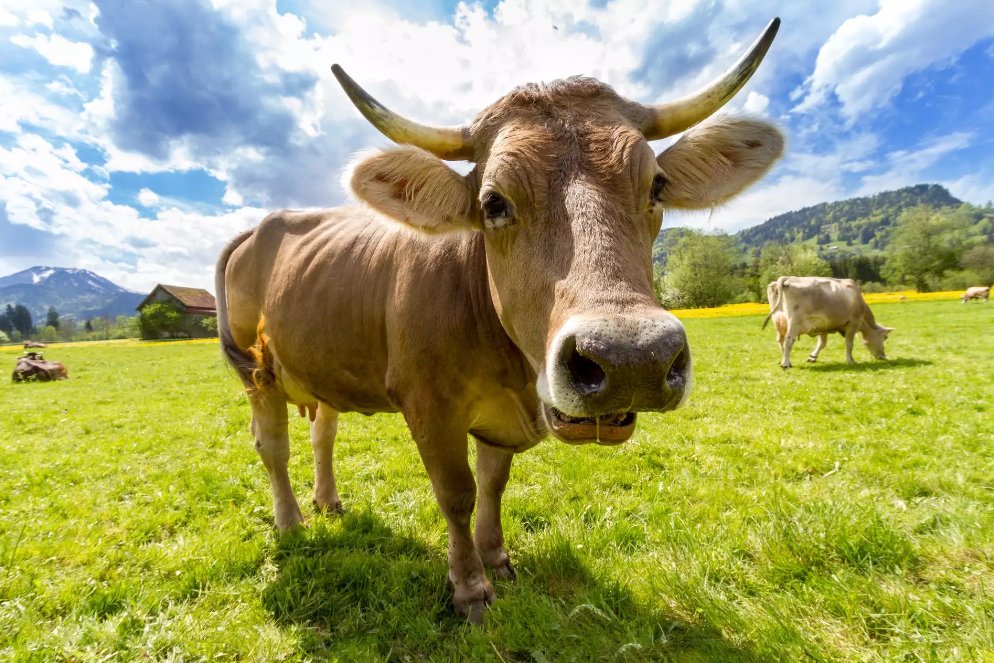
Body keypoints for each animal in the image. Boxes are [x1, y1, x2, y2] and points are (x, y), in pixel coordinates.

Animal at [217, 18, 785, 621]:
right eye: (493, 203)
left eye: (656, 185)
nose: (633, 359)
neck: (510, 369)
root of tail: (263, 225)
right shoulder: (428, 406)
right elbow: (457, 493)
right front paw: (469, 586)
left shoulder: (499, 421)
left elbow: (493, 485)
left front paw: (497, 559)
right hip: (257, 372)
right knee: (273, 445)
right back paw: (292, 521)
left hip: (321, 364)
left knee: (322, 431)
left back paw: (327, 502)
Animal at [763, 276, 893, 369]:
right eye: (885, 337)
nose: (883, 357)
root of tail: (787, 278)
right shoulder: (853, 322)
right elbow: (849, 343)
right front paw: (850, 360)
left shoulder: (823, 327)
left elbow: (822, 343)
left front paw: (812, 357)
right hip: (794, 322)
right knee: (789, 340)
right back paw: (785, 363)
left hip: (779, 321)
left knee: (781, 340)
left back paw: (787, 361)